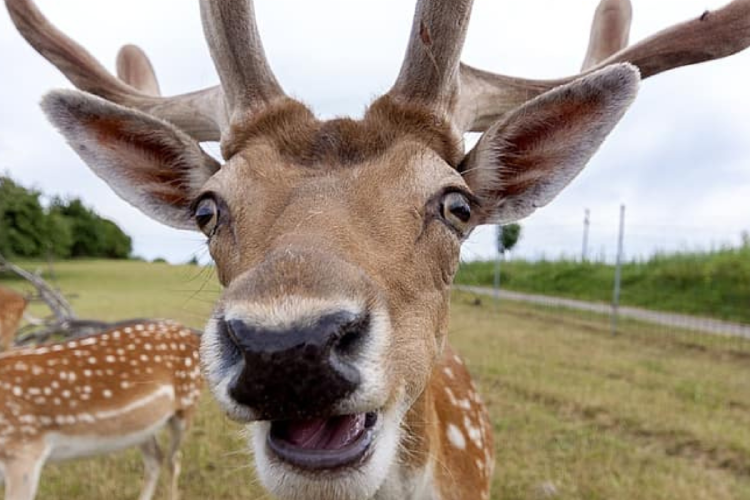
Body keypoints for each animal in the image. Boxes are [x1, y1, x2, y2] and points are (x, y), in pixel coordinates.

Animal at [0, 319, 202, 500]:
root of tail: (193, 334)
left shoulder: (24, 449)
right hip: (143, 426)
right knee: (155, 458)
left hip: (186, 405)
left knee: (173, 460)